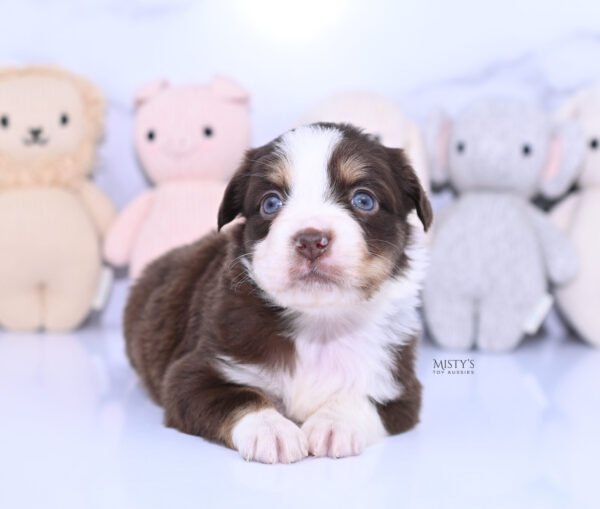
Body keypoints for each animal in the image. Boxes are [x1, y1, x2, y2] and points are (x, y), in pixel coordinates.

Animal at [124, 121, 432, 462]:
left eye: (364, 200)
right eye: (271, 203)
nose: (311, 240)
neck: (319, 325)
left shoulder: (400, 386)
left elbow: (363, 400)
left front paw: (333, 423)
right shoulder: (192, 373)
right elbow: (239, 397)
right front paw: (271, 429)